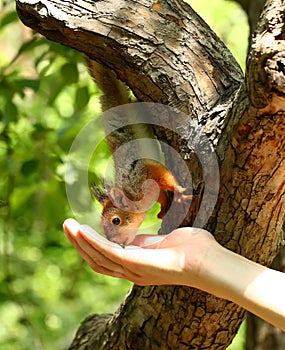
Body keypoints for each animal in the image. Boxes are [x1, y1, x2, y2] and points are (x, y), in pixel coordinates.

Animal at [85, 57, 192, 247]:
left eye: (116, 220)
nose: (116, 242)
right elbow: (161, 196)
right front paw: (163, 210)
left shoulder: (142, 173)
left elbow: (164, 176)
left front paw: (179, 192)